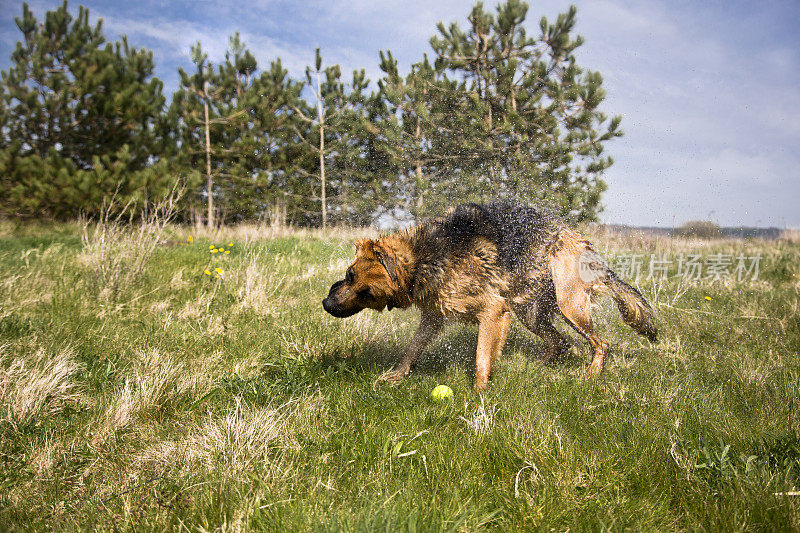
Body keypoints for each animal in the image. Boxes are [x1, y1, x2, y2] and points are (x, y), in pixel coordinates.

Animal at [322, 201, 660, 390]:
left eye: (363, 290)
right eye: (351, 278)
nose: (326, 304)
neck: (425, 257)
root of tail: (578, 239)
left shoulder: (493, 311)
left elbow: (482, 359)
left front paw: (479, 395)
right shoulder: (434, 316)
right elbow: (412, 349)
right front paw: (395, 377)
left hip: (569, 303)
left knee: (600, 343)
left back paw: (590, 376)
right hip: (530, 313)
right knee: (560, 341)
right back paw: (537, 368)